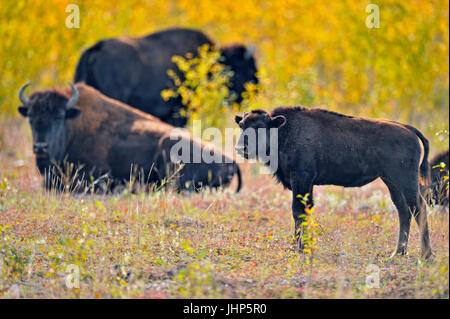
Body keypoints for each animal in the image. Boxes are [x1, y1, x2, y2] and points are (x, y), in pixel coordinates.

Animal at [236, 107, 432, 260]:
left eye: (260, 127)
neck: (285, 131)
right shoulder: (306, 184)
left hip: (405, 180)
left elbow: (298, 212)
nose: (241, 148)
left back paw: (425, 255)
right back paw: (397, 253)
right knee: (404, 211)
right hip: (391, 182)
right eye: (242, 125)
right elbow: (304, 212)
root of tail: (408, 129)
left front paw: (298, 249)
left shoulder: (301, 179)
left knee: (418, 208)